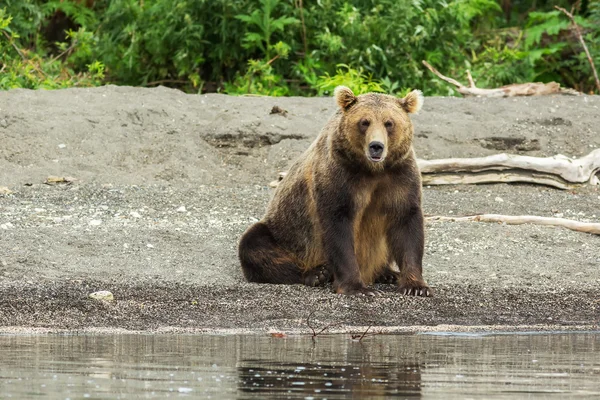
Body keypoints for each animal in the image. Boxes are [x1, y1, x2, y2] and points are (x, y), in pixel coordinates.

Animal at [239, 86, 432, 296]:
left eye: (389, 123)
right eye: (364, 122)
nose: (376, 146)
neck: (373, 171)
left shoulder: (399, 176)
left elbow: (406, 223)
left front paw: (416, 286)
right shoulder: (339, 176)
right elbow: (338, 228)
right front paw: (356, 287)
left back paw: (387, 273)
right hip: (285, 235)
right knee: (255, 245)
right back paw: (317, 274)